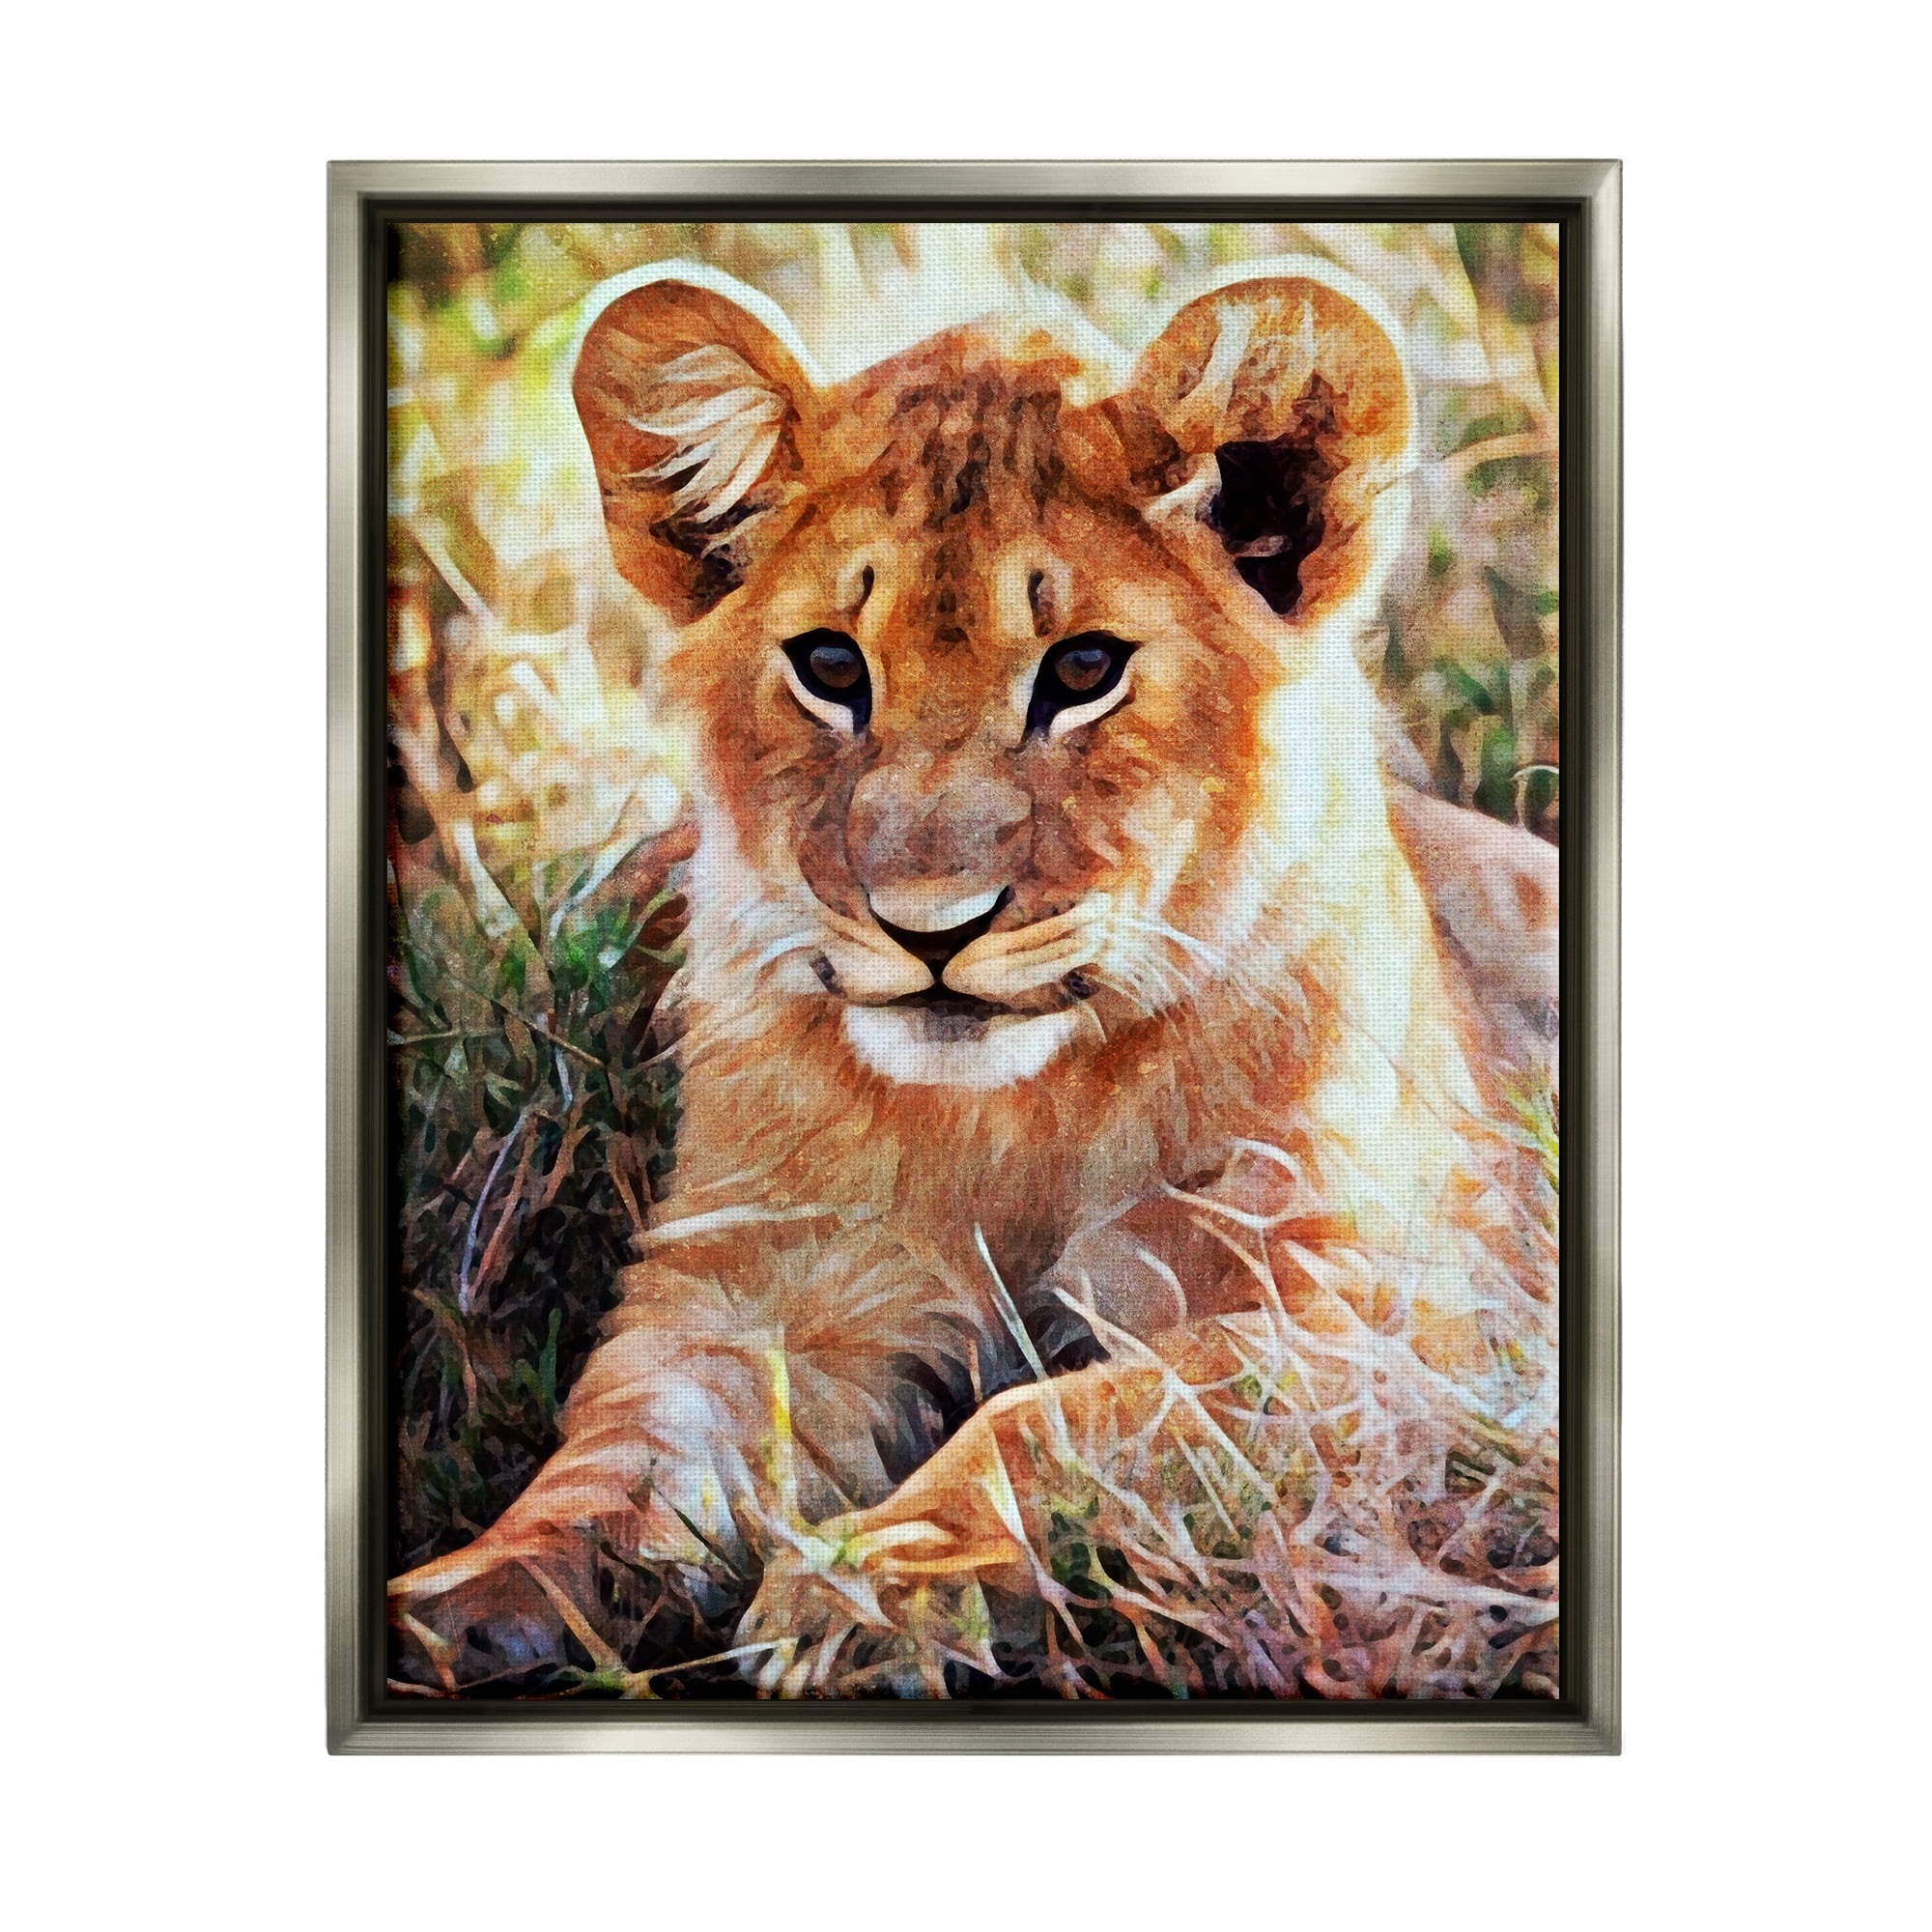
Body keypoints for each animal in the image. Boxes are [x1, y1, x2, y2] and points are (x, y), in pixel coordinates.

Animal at [389, 257, 1560, 1699]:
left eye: (1084, 669)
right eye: (831, 665)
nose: (929, 930)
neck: (1014, 1118)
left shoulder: (1389, 1320)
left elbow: (1059, 1416)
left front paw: (873, 1587)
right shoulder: (755, 1285)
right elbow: (619, 1457)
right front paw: (466, 1597)